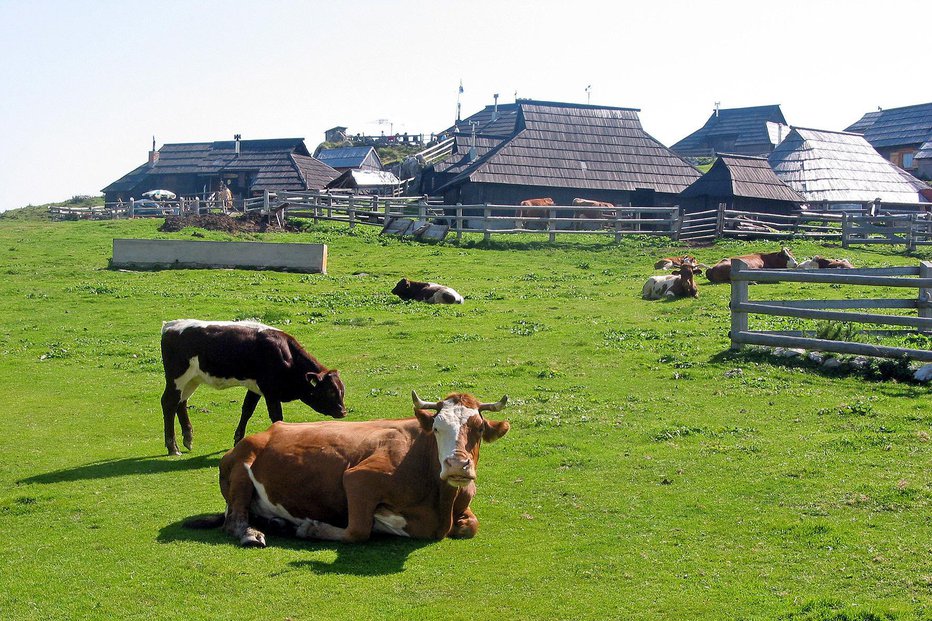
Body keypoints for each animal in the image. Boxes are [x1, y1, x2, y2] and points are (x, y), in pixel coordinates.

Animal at [158, 320, 348, 456]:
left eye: (342, 390)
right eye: (330, 391)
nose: (343, 411)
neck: (286, 356)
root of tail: (171, 326)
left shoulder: (256, 388)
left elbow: (247, 410)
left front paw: (238, 439)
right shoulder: (270, 391)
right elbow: (276, 416)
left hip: (191, 380)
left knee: (181, 403)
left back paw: (188, 439)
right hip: (177, 378)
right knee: (169, 403)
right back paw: (172, 447)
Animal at [184, 390, 510, 544]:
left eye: (478, 428)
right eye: (438, 428)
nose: (456, 464)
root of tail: (260, 433)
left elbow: (471, 526)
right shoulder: (359, 479)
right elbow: (358, 530)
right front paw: (312, 528)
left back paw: (277, 523)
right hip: (242, 468)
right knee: (234, 520)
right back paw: (254, 533)